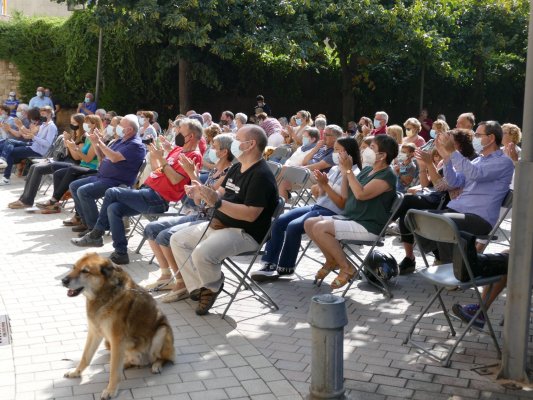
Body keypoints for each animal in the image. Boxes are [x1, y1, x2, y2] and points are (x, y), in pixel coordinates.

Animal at [62, 253, 175, 400]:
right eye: (74, 267)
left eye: (85, 271)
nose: (63, 280)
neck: (105, 293)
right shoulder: (94, 333)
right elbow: (85, 357)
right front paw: (76, 372)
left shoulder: (117, 339)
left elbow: (114, 371)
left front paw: (110, 391)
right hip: (109, 343)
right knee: (130, 361)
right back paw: (125, 363)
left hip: (162, 331)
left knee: (164, 358)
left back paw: (156, 365)